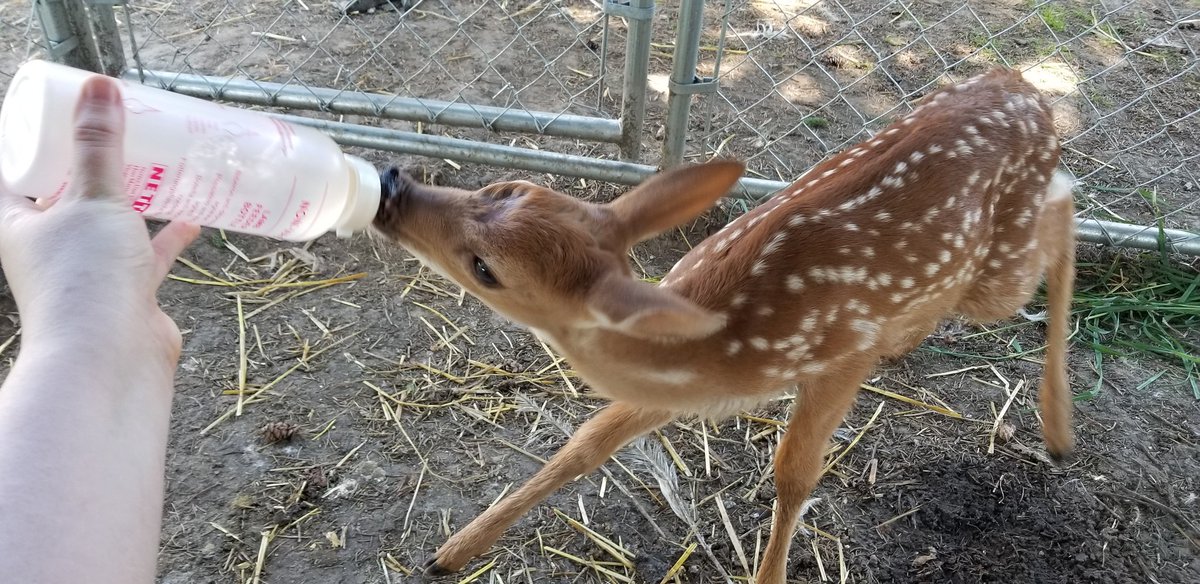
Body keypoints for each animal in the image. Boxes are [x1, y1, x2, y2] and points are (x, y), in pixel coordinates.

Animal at [372, 67, 1077, 583]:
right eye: (504, 186)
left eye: (485, 268)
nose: (391, 183)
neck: (722, 352)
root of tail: (1023, 84)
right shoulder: (674, 389)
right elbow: (588, 440)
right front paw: (452, 552)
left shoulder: (840, 359)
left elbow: (794, 475)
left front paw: (770, 576)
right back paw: (912, 342)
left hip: (1000, 273)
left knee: (1062, 212)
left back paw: (1058, 429)